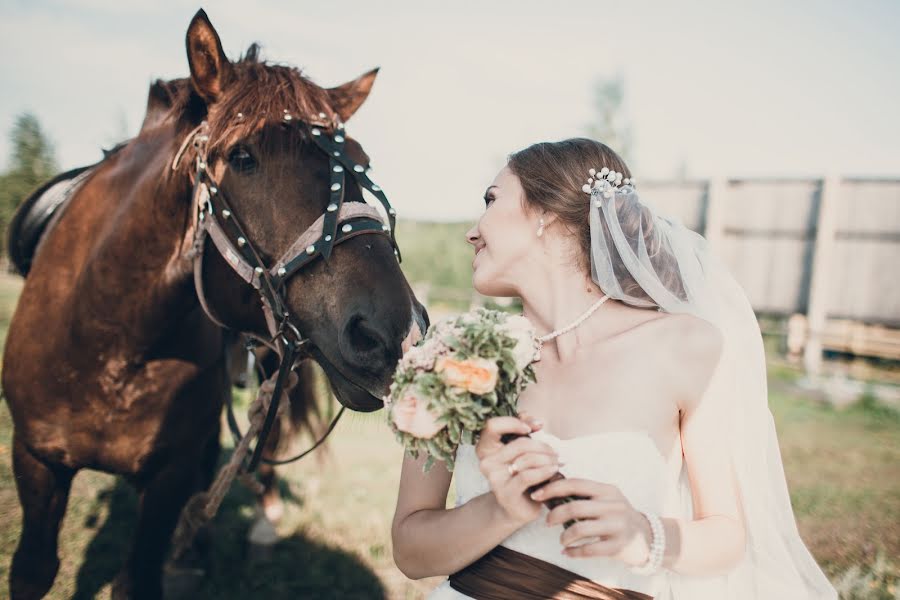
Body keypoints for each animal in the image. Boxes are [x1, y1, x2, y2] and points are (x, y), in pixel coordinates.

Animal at [3, 10, 428, 600]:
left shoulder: (166, 479)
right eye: (242, 157)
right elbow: (34, 569)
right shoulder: (35, 460)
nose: (393, 333)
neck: (109, 341)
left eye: (362, 164)